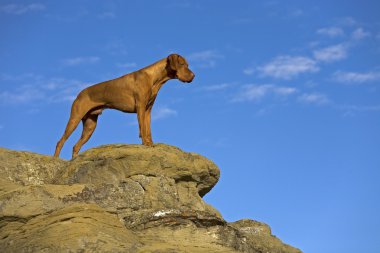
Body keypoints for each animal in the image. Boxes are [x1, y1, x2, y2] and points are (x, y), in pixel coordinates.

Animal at [53, 53, 194, 158]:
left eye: (187, 65)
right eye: (182, 64)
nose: (193, 76)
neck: (154, 78)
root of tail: (79, 94)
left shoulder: (148, 110)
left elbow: (148, 129)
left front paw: (150, 143)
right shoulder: (140, 108)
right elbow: (142, 128)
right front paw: (145, 143)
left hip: (90, 126)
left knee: (76, 146)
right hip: (74, 119)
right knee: (60, 141)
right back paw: (56, 159)